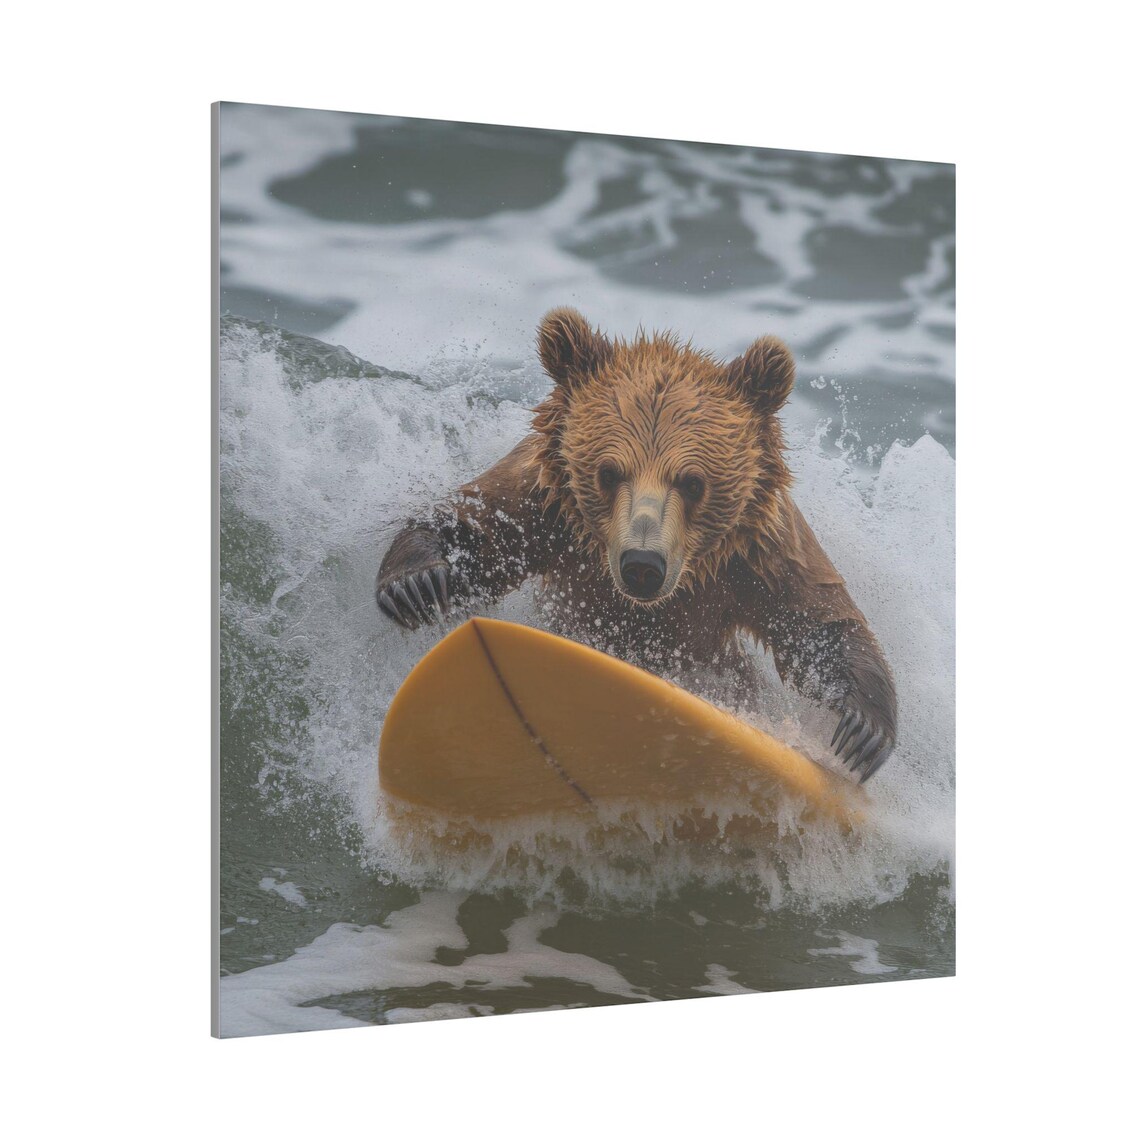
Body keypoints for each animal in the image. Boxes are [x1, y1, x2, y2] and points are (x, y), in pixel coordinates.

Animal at [376, 308, 897, 781]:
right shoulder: (543, 504)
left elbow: (814, 620)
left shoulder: (756, 549)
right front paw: (415, 582)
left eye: (692, 481)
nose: (643, 563)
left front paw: (862, 729)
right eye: (609, 472)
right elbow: (479, 529)